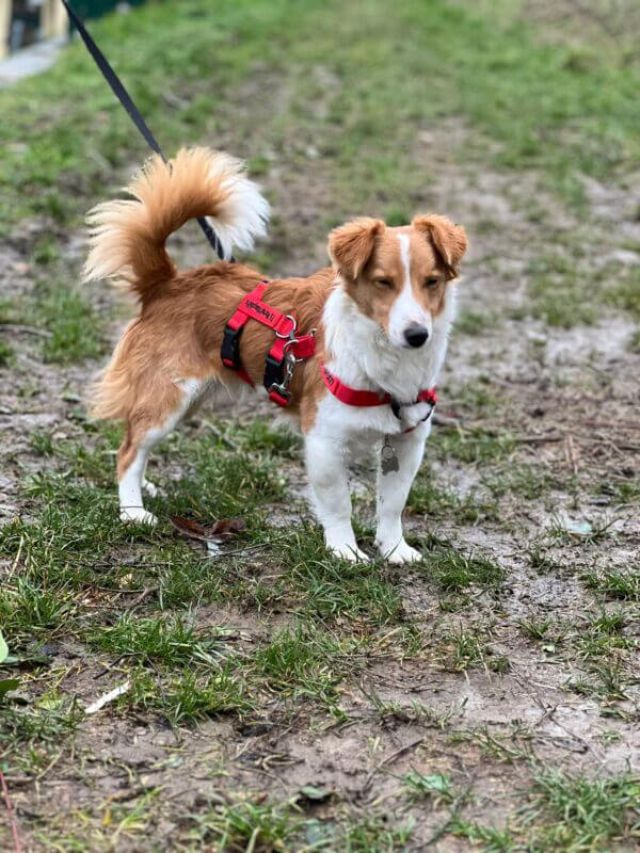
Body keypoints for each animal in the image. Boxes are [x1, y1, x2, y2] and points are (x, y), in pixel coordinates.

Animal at [84, 146, 464, 564]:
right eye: (384, 282)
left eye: (432, 281)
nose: (417, 335)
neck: (384, 361)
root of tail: (167, 282)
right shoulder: (324, 440)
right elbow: (339, 504)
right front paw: (345, 552)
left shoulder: (409, 440)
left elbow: (393, 503)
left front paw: (395, 549)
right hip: (168, 398)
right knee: (128, 450)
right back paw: (133, 511)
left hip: (188, 400)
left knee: (137, 444)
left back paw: (146, 487)